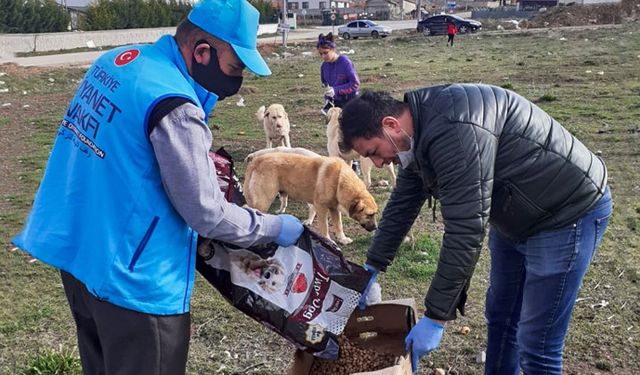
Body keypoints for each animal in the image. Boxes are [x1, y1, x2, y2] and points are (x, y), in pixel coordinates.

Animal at [244, 153, 376, 247]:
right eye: (369, 215)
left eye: (375, 214)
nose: (375, 228)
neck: (339, 179)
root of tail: (256, 160)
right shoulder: (321, 208)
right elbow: (324, 227)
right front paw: (329, 241)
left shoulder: (334, 209)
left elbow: (339, 225)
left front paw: (342, 239)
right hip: (263, 202)